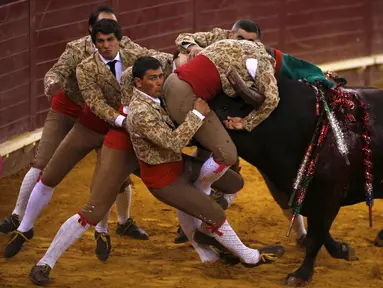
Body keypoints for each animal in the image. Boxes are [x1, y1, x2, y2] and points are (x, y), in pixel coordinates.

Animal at [208, 77, 382, 286]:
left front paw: (300, 275)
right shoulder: (304, 196)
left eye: (224, 106)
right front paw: (342, 250)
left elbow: (317, 236)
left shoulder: (328, 196)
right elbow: (320, 233)